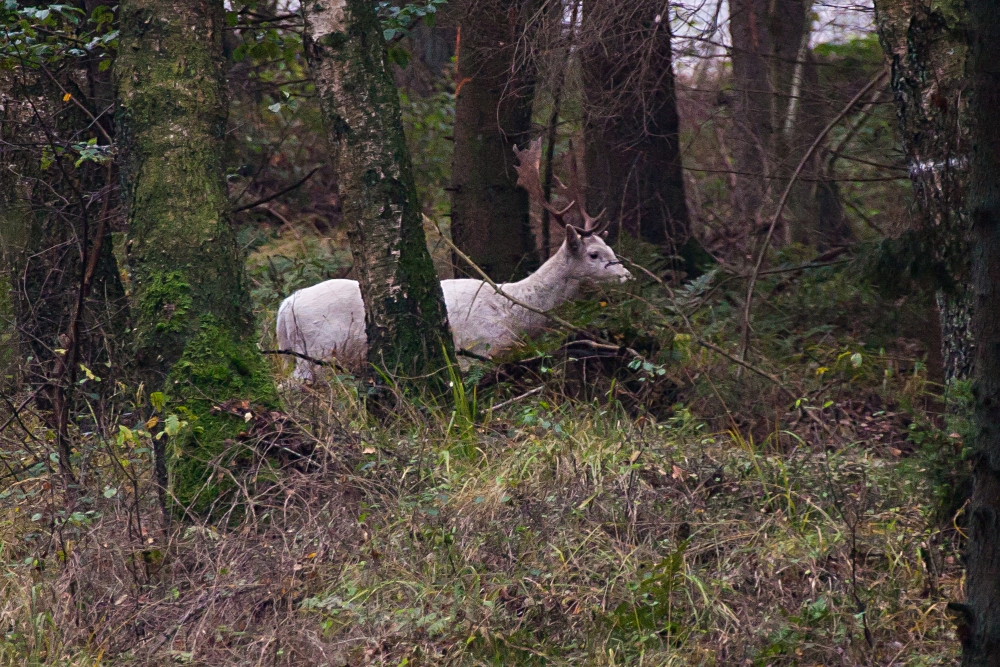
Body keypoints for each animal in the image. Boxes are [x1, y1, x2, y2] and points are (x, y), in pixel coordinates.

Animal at [278, 140, 628, 380]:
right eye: (594, 254)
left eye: (609, 246)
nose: (626, 274)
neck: (515, 313)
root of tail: (284, 308)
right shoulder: (474, 352)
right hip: (318, 353)